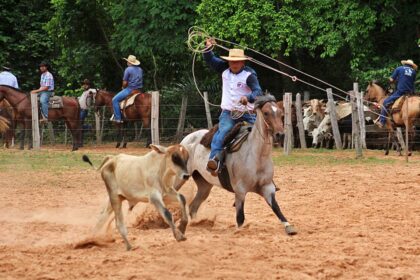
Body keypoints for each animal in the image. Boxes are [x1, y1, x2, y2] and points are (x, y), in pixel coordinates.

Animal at [176, 95, 296, 235]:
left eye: (281, 114)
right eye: (266, 113)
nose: (280, 134)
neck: (256, 156)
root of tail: (187, 139)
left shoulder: (267, 188)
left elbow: (277, 208)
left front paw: (289, 226)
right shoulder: (240, 191)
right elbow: (240, 217)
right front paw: (239, 231)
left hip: (204, 184)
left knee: (193, 206)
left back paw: (196, 223)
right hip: (181, 177)